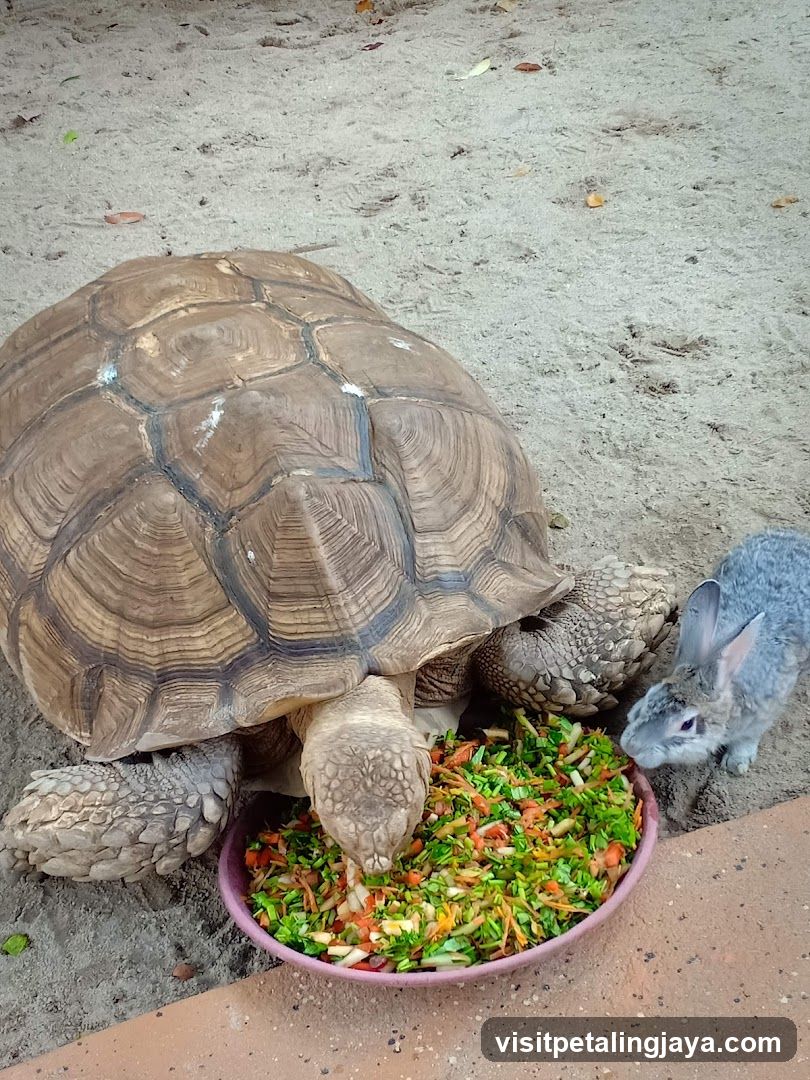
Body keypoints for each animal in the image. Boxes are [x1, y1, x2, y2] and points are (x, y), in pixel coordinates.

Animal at [620, 529, 810, 774]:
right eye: (650, 694)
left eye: (687, 724)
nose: (631, 747)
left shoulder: (764, 713)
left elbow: (748, 738)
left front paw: (736, 763)